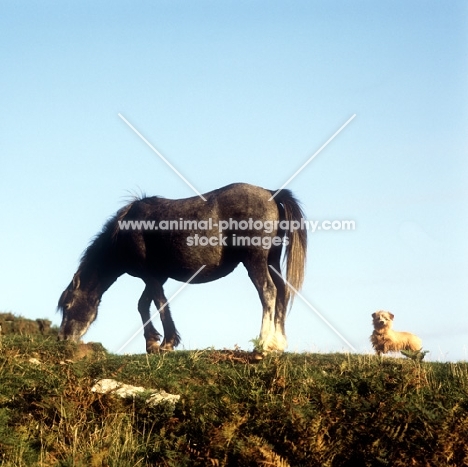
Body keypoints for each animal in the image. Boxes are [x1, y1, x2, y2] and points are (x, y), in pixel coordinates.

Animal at [57, 185, 308, 352]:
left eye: (67, 306)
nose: (63, 339)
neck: (125, 232)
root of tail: (271, 193)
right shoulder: (158, 276)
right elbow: (143, 304)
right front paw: (152, 342)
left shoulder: (150, 275)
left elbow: (159, 303)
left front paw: (166, 342)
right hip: (271, 261)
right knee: (282, 293)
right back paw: (278, 343)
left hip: (255, 261)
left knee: (268, 292)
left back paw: (263, 345)